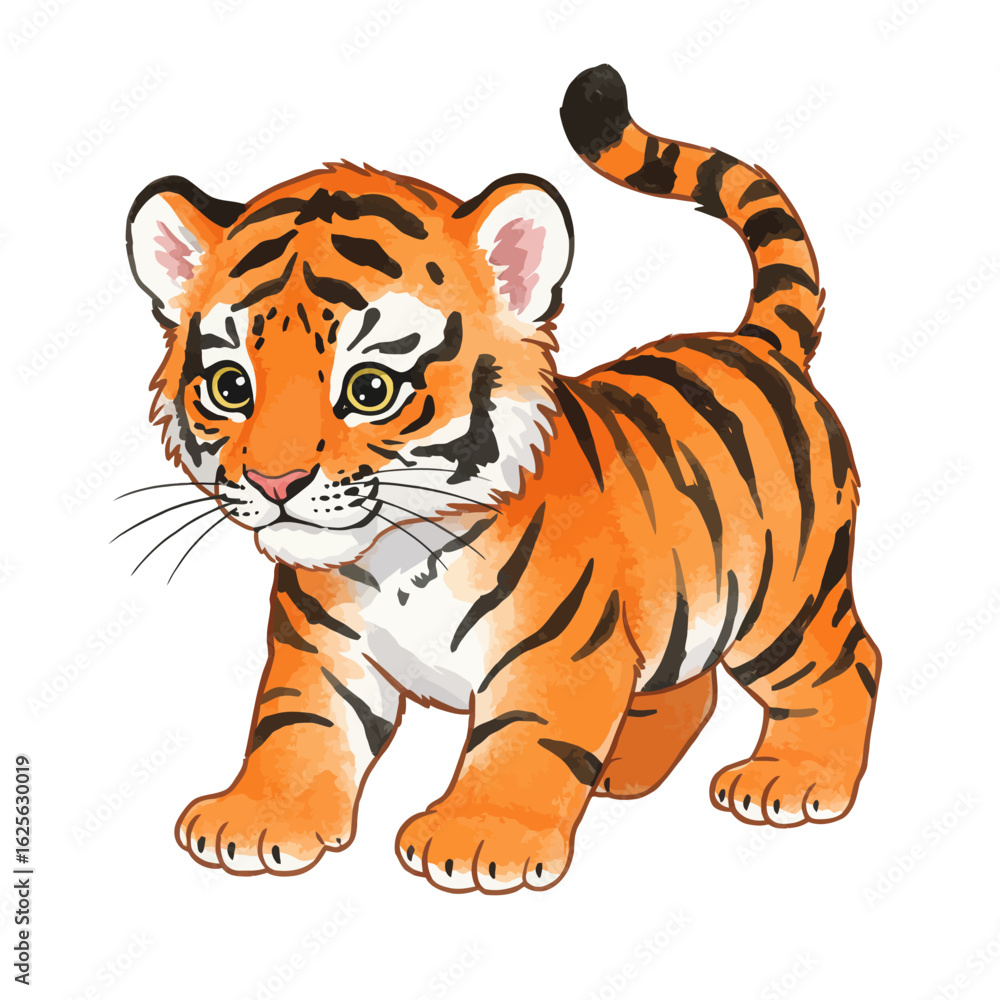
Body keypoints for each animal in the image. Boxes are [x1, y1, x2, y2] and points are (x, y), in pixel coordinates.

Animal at [123, 63, 881, 894]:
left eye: (370, 390)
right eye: (230, 386)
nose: (273, 480)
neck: (397, 558)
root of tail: (758, 340)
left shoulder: (559, 655)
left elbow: (524, 739)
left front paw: (481, 836)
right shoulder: (320, 651)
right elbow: (295, 725)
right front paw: (260, 817)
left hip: (785, 600)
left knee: (848, 665)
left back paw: (795, 780)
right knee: (693, 684)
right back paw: (621, 771)